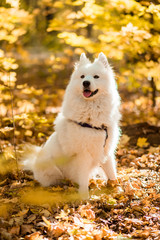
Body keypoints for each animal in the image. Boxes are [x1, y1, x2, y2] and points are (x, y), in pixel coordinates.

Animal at [21, 52, 120, 197]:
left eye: (96, 76)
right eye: (82, 76)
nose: (86, 83)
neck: (91, 116)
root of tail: (34, 165)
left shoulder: (106, 149)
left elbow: (111, 172)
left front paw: (117, 189)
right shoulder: (83, 155)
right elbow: (83, 178)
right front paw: (84, 197)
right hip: (52, 169)